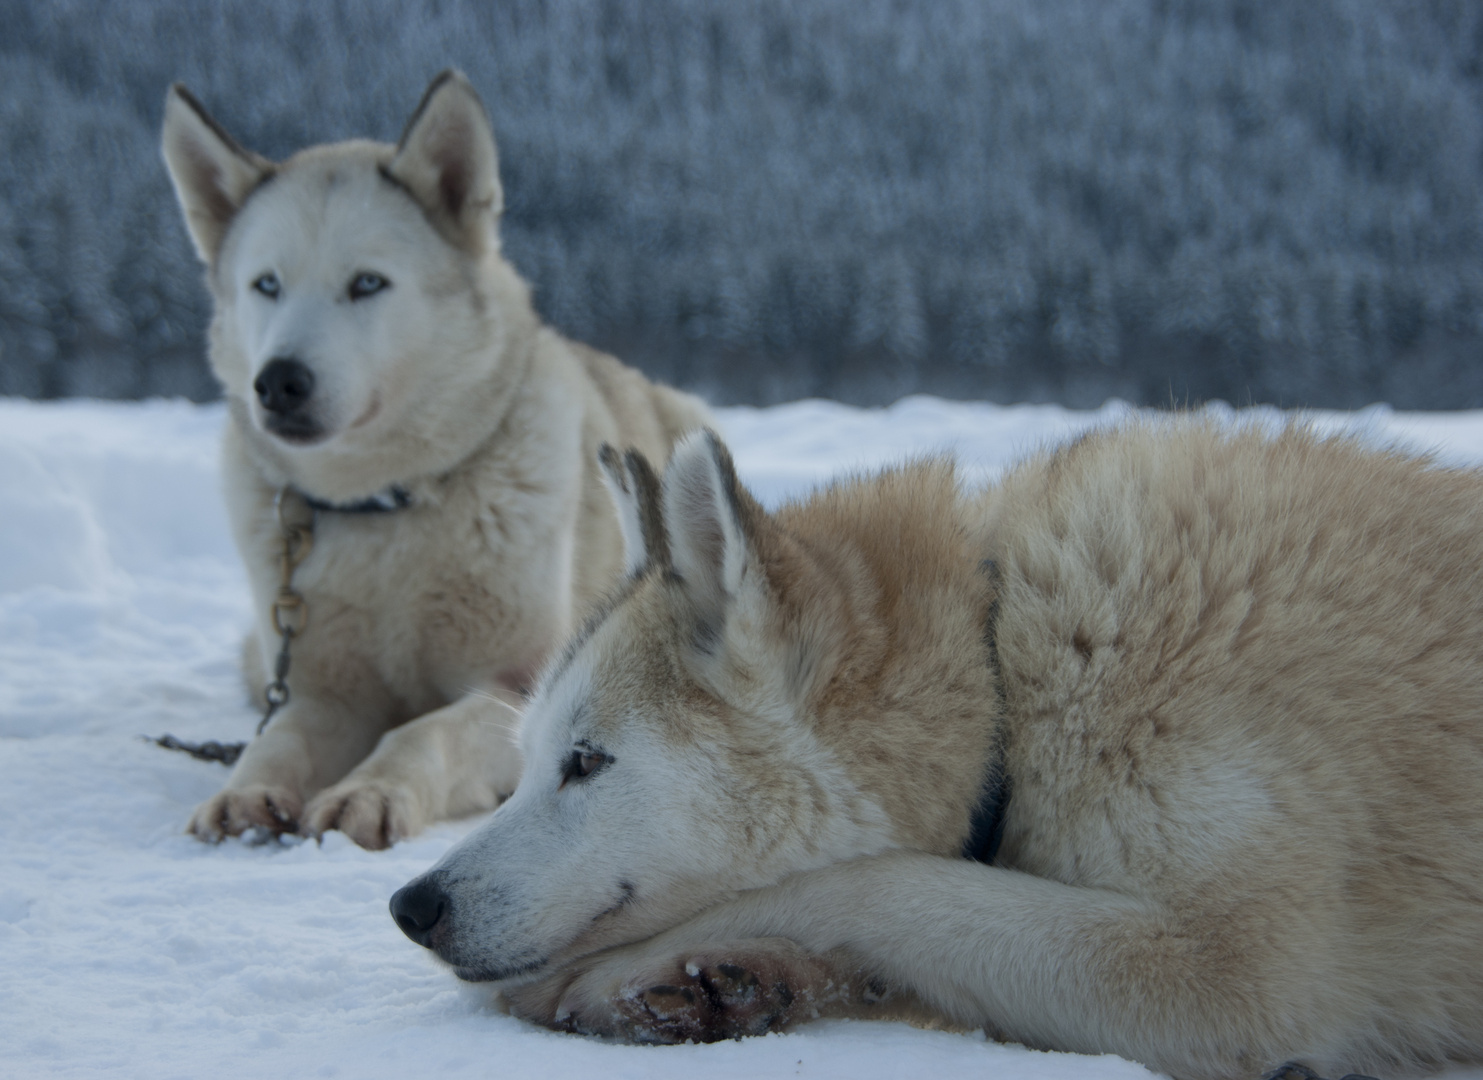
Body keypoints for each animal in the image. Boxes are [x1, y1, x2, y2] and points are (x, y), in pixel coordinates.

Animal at [160, 71, 711, 848]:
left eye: (367, 283)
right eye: (265, 284)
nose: (278, 382)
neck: (385, 509)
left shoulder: (516, 688)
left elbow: (424, 731)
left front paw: (368, 792)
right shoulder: (323, 692)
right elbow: (278, 738)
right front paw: (245, 793)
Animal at [391, 424, 1483, 1080]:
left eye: (588, 761)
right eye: (532, 758)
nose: (411, 904)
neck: (1015, 679)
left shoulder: (1227, 976)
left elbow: (876, 884)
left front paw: (628, 974)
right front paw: (736, 980)